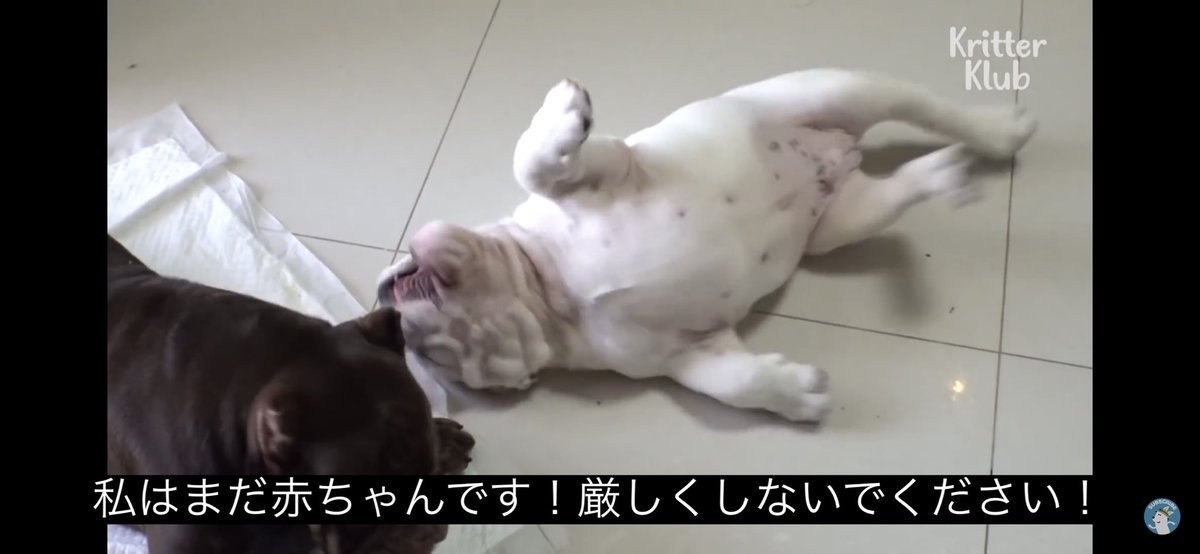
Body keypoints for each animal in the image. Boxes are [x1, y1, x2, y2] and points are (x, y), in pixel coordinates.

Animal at [376, 68, 1036, 423]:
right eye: (445, 356)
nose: (403, 312)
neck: (552, 292)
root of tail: (840, 152)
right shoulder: (682, 351)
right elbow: (731, 383)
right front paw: (796, 393)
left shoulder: (610, 167)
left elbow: (535, 164)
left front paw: (560, 114)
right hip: (839, 224)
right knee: (892, 192)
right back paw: (939, 175)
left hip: (830, 91)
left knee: (923, 105)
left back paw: (997, 130)